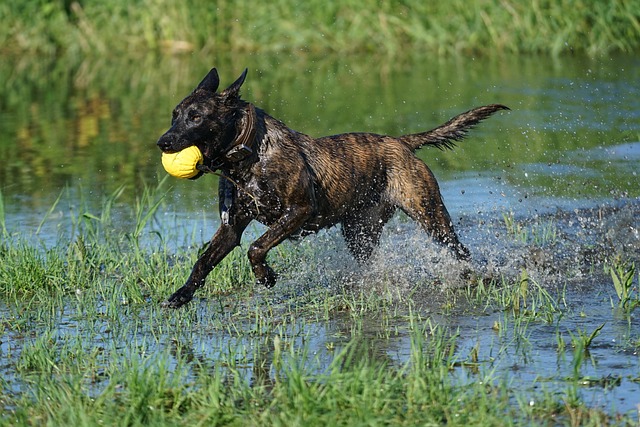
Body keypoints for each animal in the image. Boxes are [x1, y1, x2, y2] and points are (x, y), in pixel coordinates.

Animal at [158, 67, 508, 308]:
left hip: (431, 216)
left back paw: (475, 276)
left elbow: (257, 247)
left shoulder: (299, 211)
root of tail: (401, 142)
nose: (163, 142)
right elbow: (203, 261)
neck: (248, 155)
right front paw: (182, 294)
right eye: (175, 115)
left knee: (459, 249)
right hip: (360, 232)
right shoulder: (231, 227)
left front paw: (265, 276)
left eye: (196, 117)